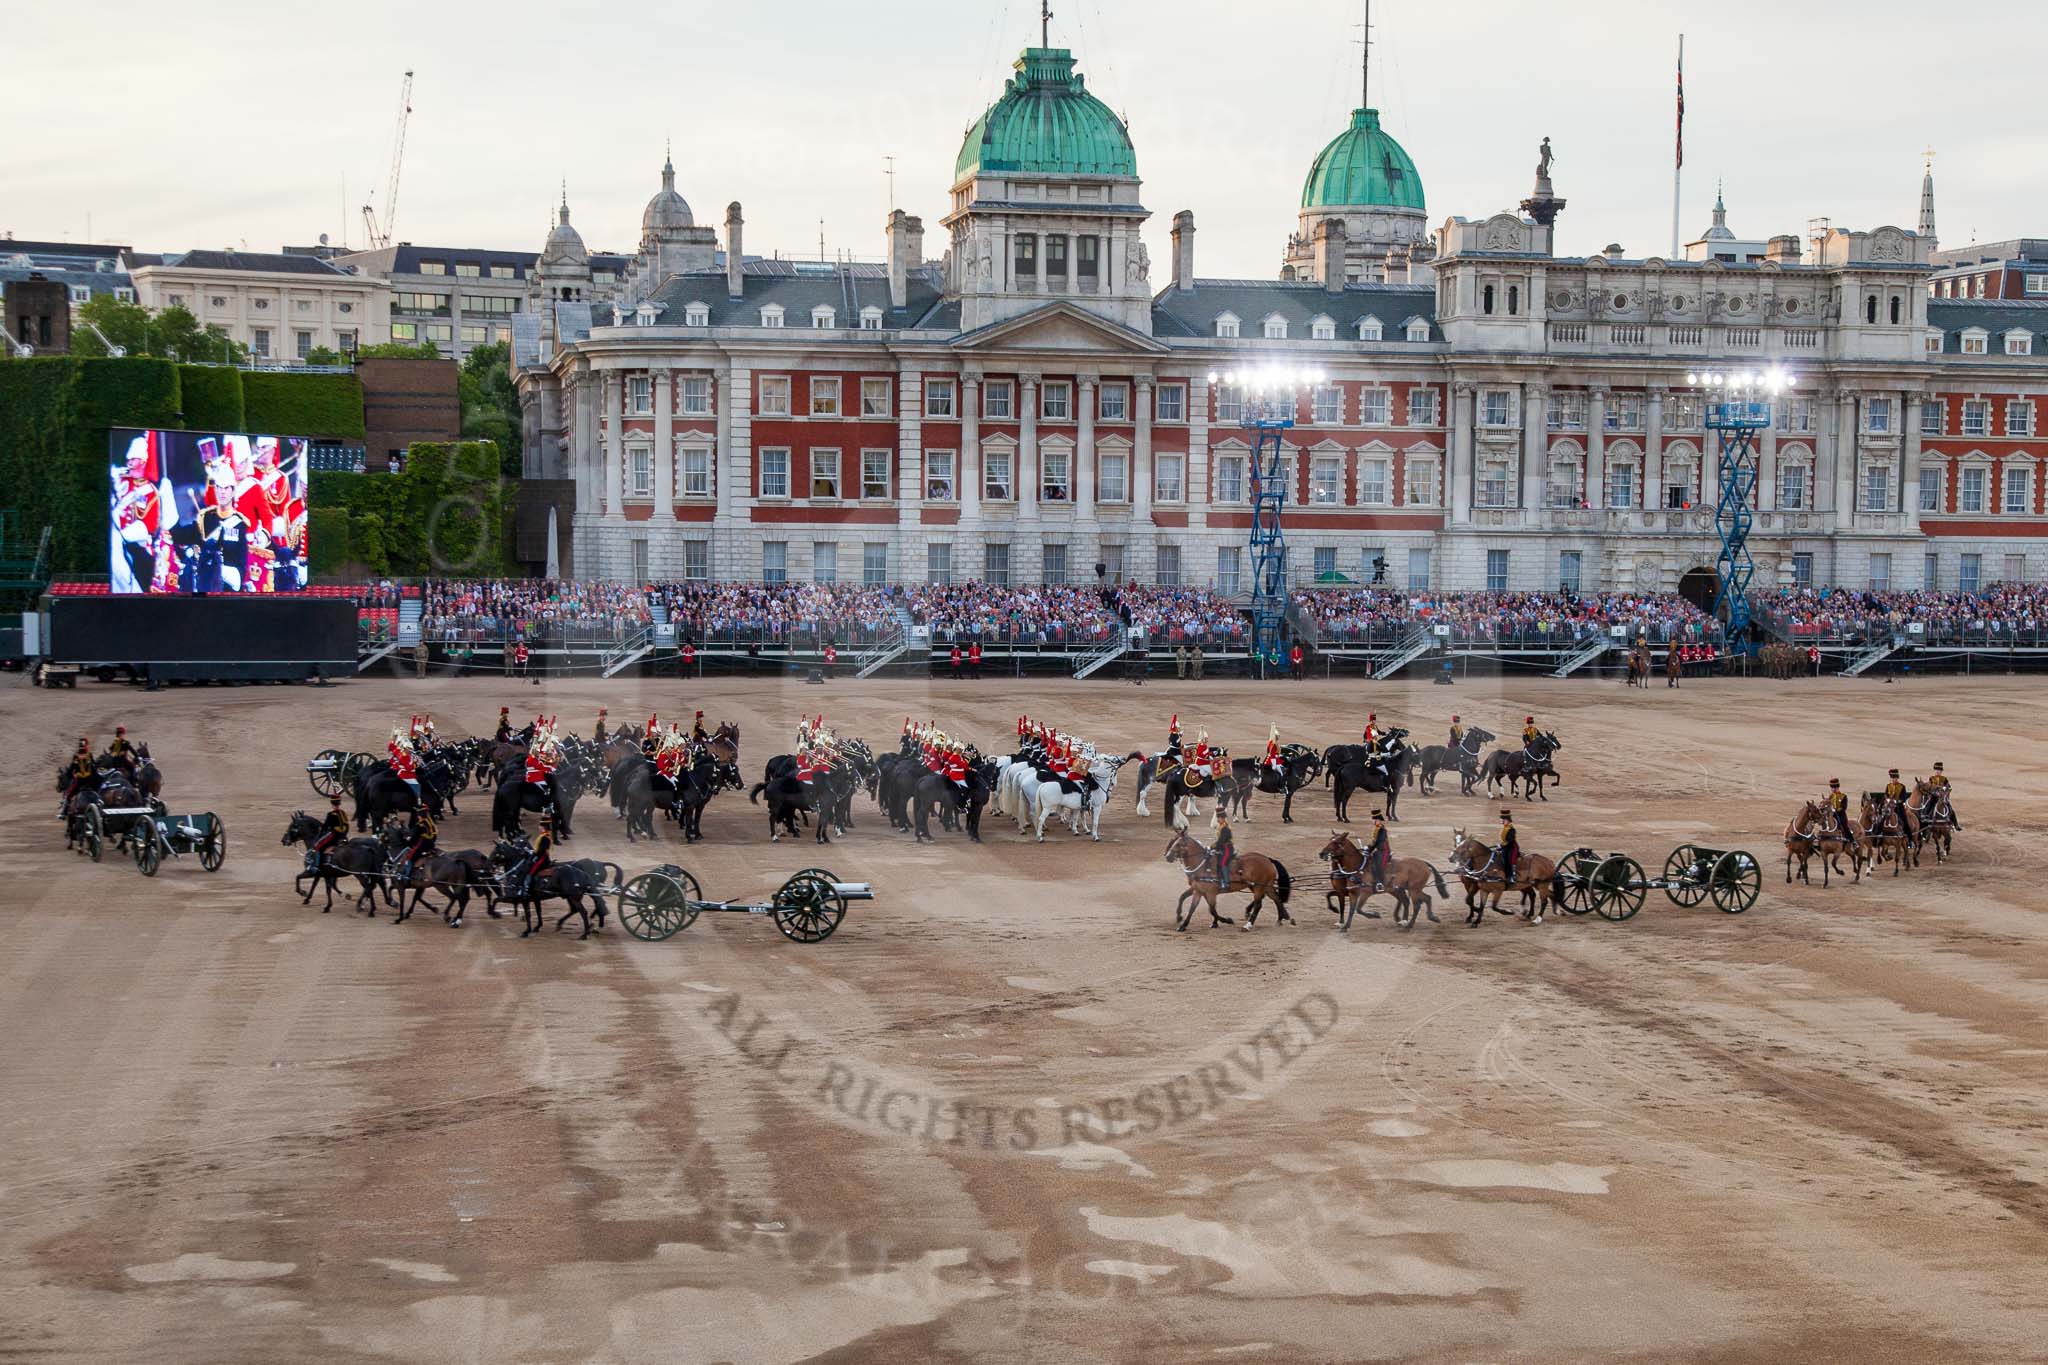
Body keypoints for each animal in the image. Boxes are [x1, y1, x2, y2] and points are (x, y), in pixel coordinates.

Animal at [1318, 834, 1449, 929]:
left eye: (1336, 843)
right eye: (1330, 840)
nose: (1321, 853)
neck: (1359, 866)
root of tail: (1423, 863)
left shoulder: (1365, 893)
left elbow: (1358, 909)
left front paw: (1374, 915)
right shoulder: (1352, 893)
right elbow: (1352, 909)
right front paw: (1345, 926)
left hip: (1414, 889)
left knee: (1417, 904)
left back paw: (1409, 924)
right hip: (1407, 889)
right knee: (1424, 899)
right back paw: (1428, 917)